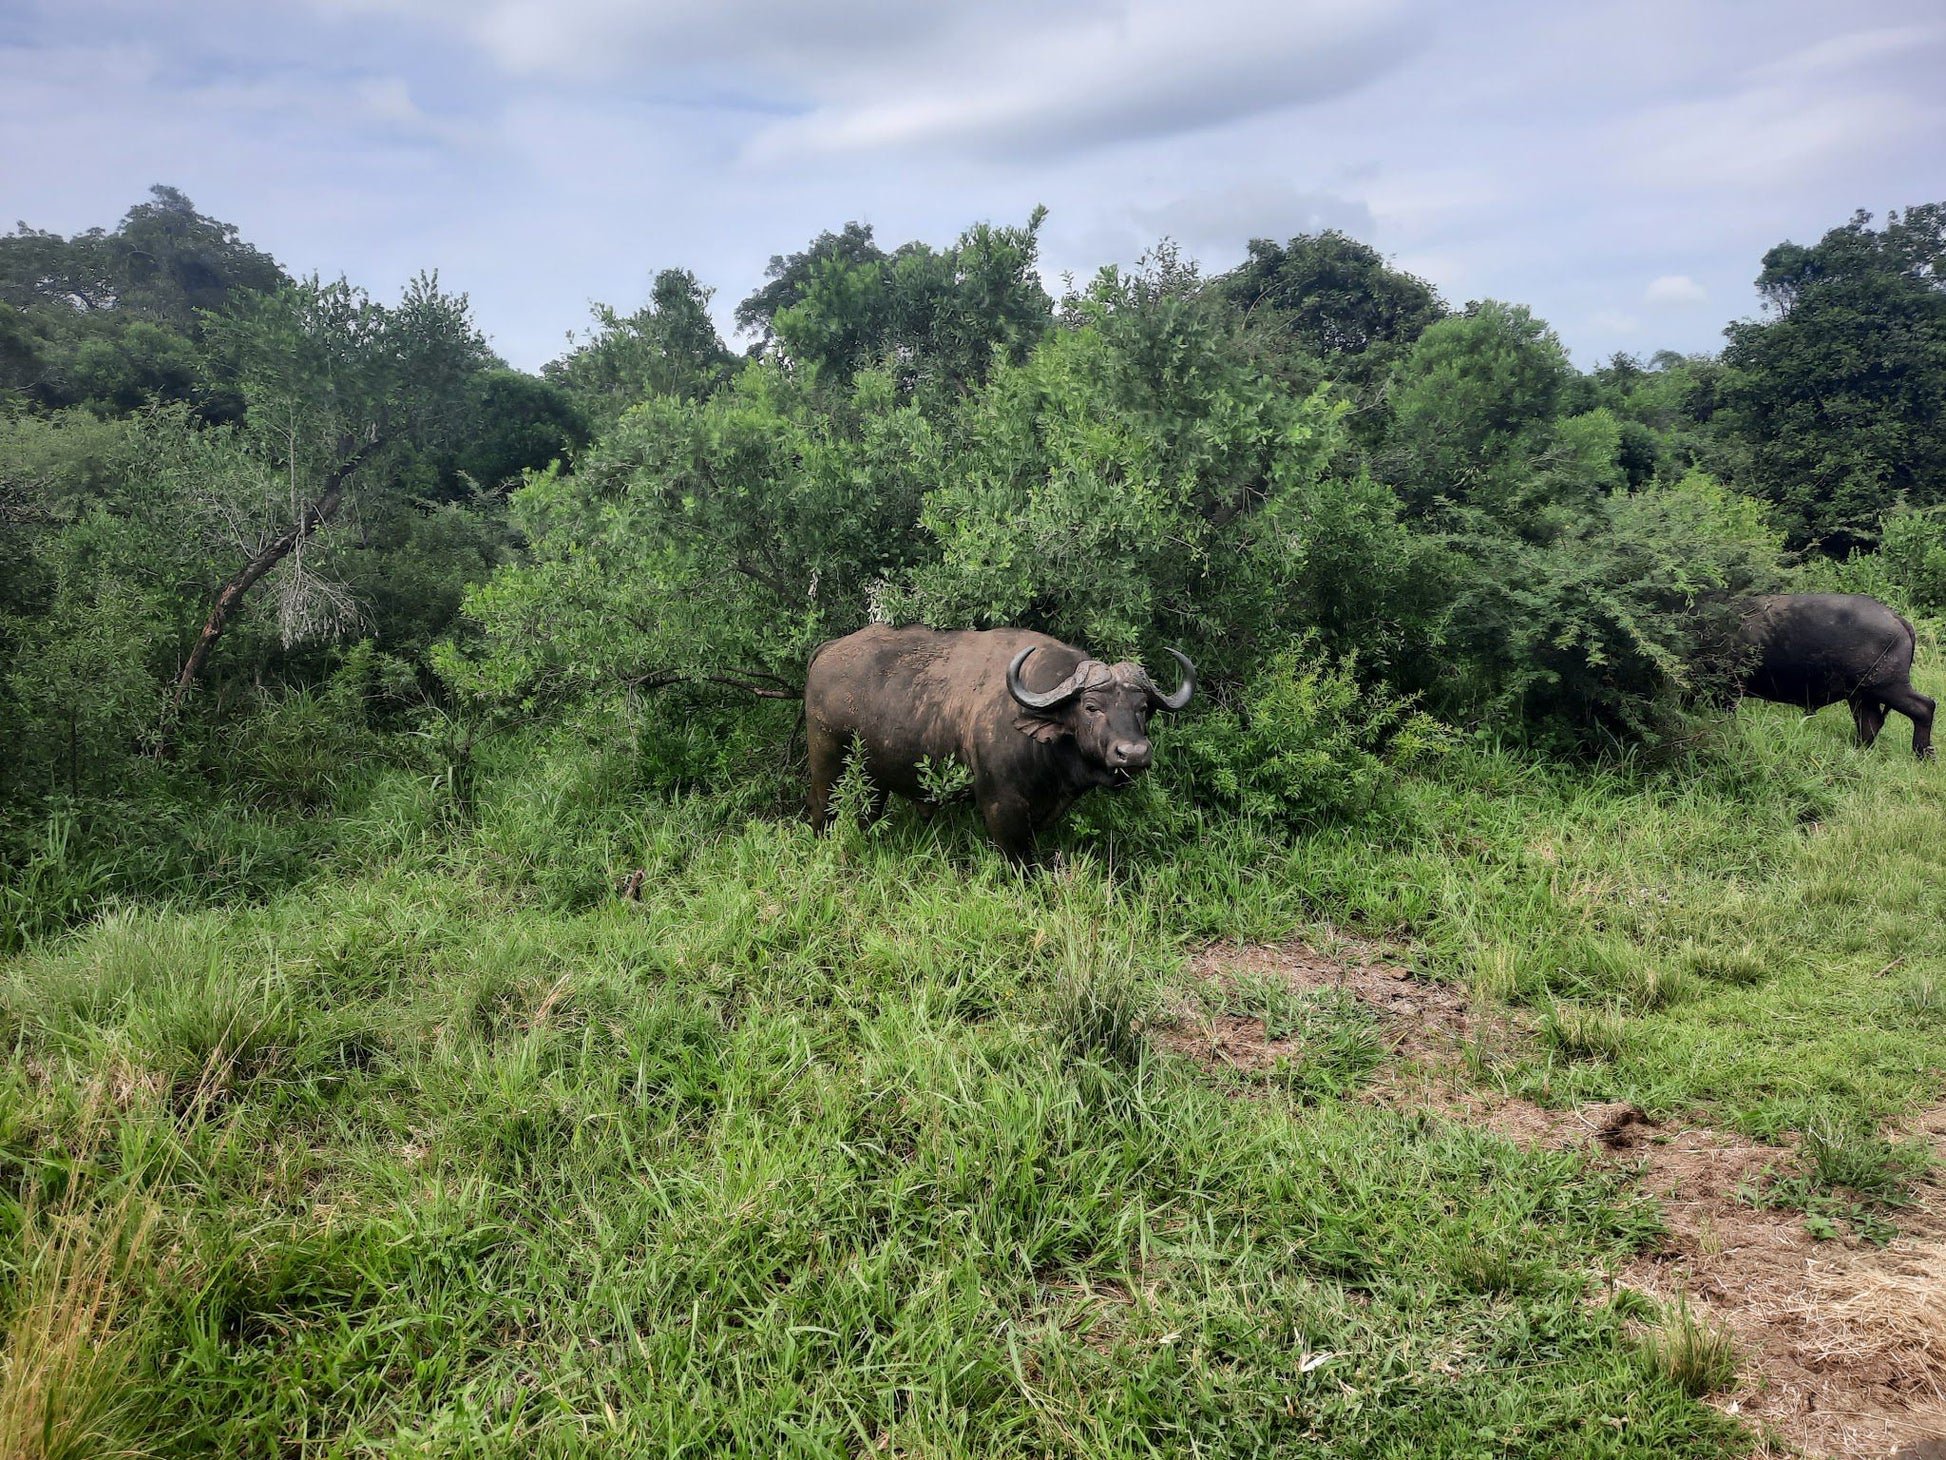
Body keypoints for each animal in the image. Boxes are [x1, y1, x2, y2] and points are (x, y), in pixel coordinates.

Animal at [801, 626, 1190, 856]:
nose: (1133, 753)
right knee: (822, 810)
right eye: (1091, 707)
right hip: (827, 761)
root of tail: (830, 649)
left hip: (874, 777)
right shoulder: (1002, 807)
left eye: (1142, 708)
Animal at [1735, 591, 1930, 759]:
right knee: (1870, 722)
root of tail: (1896, 618)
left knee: (1925, 707)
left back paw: (1923, 753)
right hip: (1862, 695)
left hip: (1888, 686)